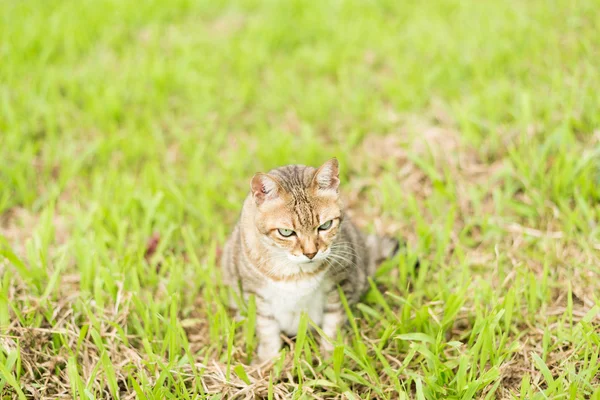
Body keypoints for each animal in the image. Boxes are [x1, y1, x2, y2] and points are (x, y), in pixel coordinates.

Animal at [220, 159, 398, 362]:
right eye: (286, 232)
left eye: (325, 225)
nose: (311, 253)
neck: (296, 272)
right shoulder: (255, 295)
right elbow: (267, 329)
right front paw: (268, 360)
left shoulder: (340, 285)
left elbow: (333, 323)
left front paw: (330, 356)